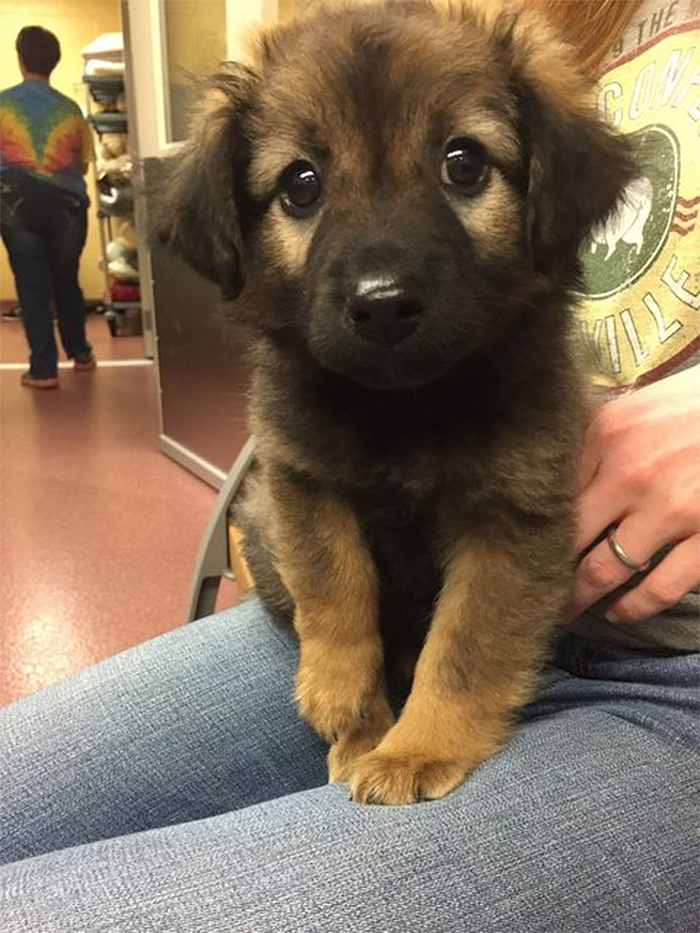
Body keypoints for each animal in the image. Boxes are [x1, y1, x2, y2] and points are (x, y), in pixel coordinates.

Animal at [163, 0, 636, 800]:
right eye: (300, 184)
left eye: (464, 162)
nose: (383, 305)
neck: (407, 407)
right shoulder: (302, 478)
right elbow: (336, 586)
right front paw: (346, 706)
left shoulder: (513, 519)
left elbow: (465, 646)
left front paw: (418, 747)